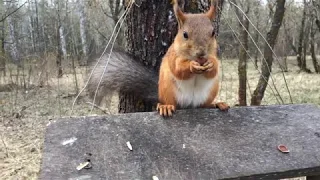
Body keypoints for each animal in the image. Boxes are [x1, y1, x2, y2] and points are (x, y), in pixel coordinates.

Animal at [87, 0, 228, 116]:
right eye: (185, 34)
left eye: (213, 33)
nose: (201, 53)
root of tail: (188, 105)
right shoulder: (172, 56)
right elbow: (178, 69)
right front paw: (191, 66)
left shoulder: (213, 55)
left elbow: (213, 70)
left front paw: (211, 64)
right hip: (168, 90)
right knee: (170, 103)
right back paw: (165, 107)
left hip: (211, 91)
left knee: (203, 105)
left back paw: (217, 104)